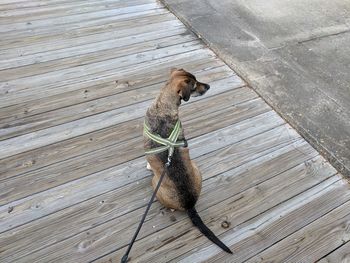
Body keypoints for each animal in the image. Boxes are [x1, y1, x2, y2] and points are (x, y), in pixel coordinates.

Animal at [142, 69, 232, 255]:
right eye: (194, 85)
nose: (209, 86)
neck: (163, 106)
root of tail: (189, 203)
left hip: (155, 183)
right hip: (197, 168)